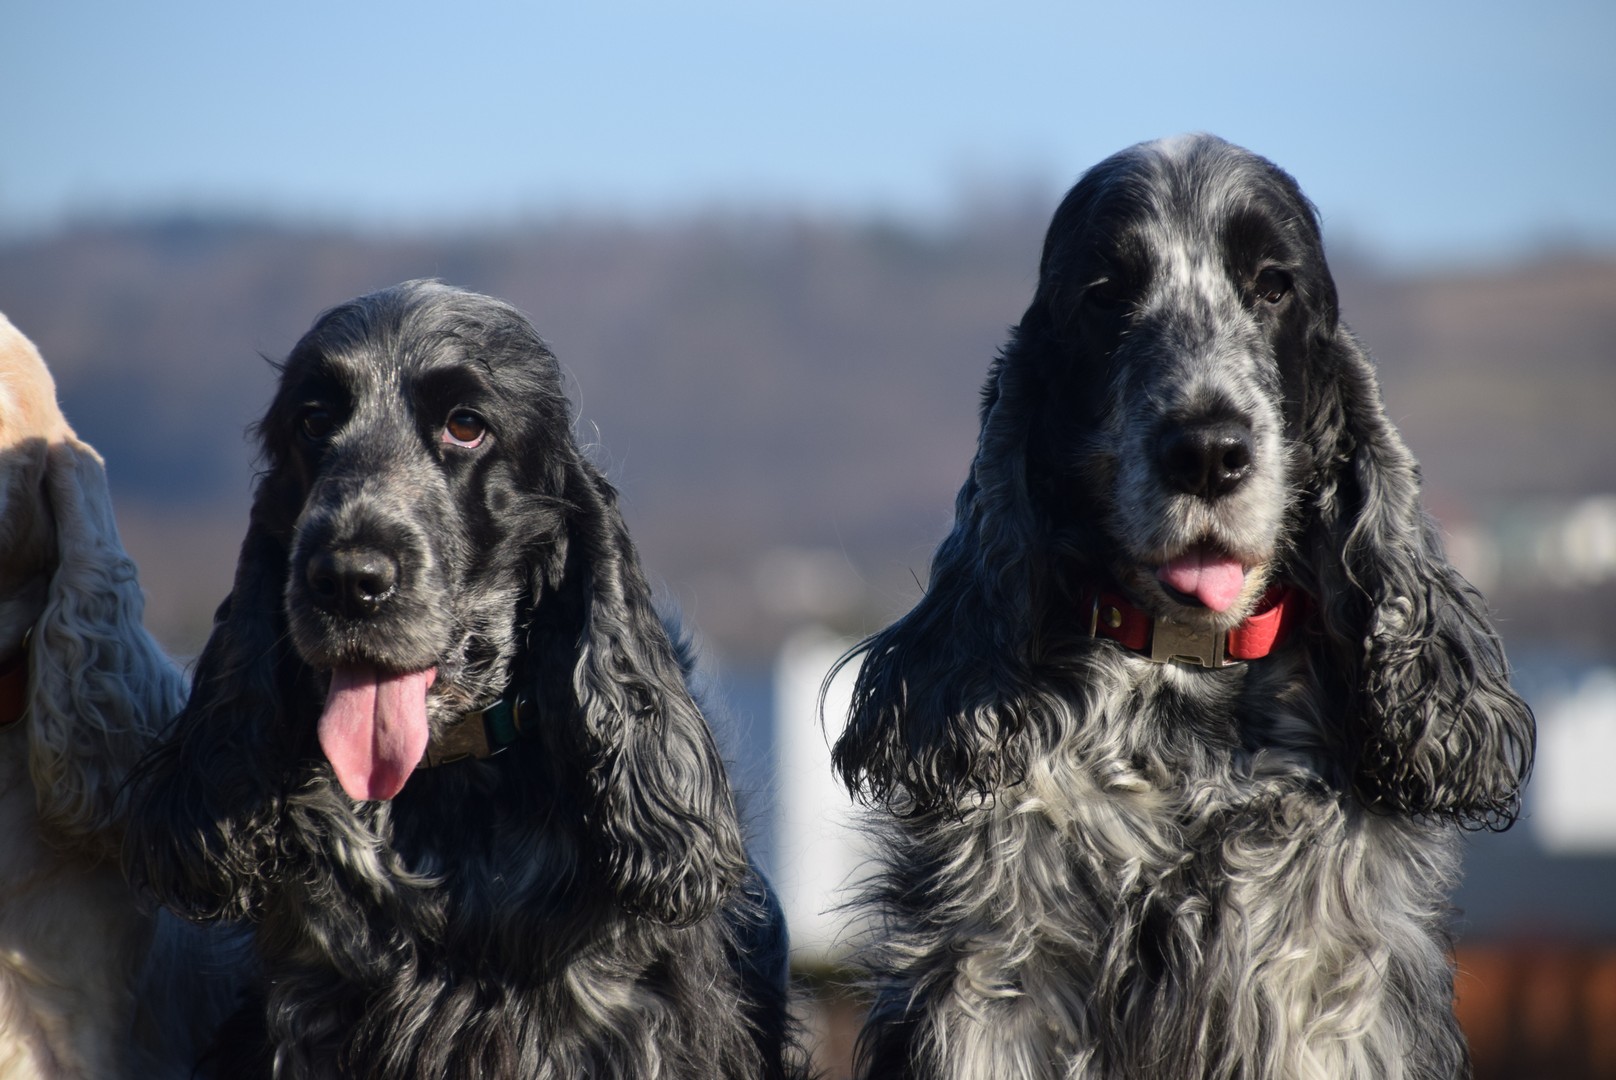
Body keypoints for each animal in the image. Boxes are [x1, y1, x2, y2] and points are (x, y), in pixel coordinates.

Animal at [830, 136, 1535, 1079]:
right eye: (1104, 294)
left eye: (1273, 285)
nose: (1207, 451)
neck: (1182, 685)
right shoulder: (992, 990)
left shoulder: (1322, 1001)